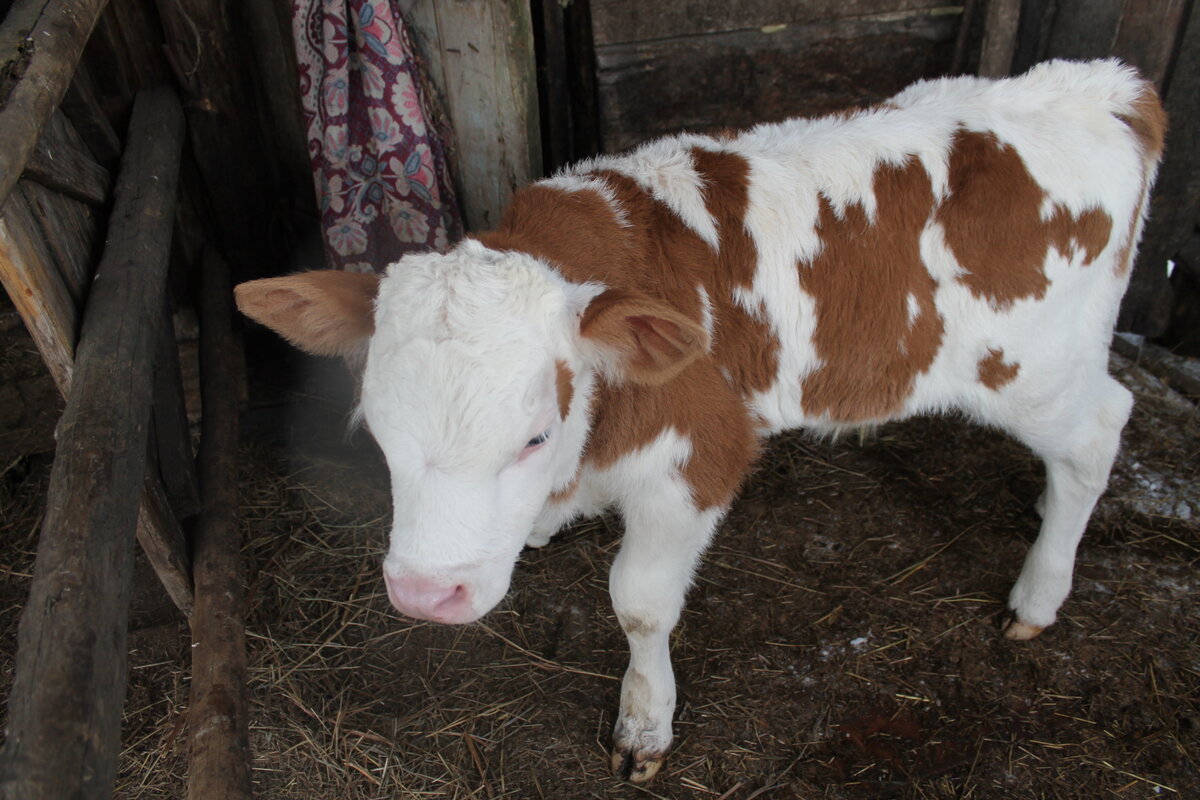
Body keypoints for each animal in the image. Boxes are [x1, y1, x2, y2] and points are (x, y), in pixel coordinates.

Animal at [234, 61, 1161, 782]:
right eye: (380, 436)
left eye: (532, 436)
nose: (428, 596)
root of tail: (1108, 89)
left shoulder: (701, 453)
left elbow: (640, 604)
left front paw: (645, 723)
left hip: (1033, 372)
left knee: (1098, 434)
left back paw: (1040, 592)